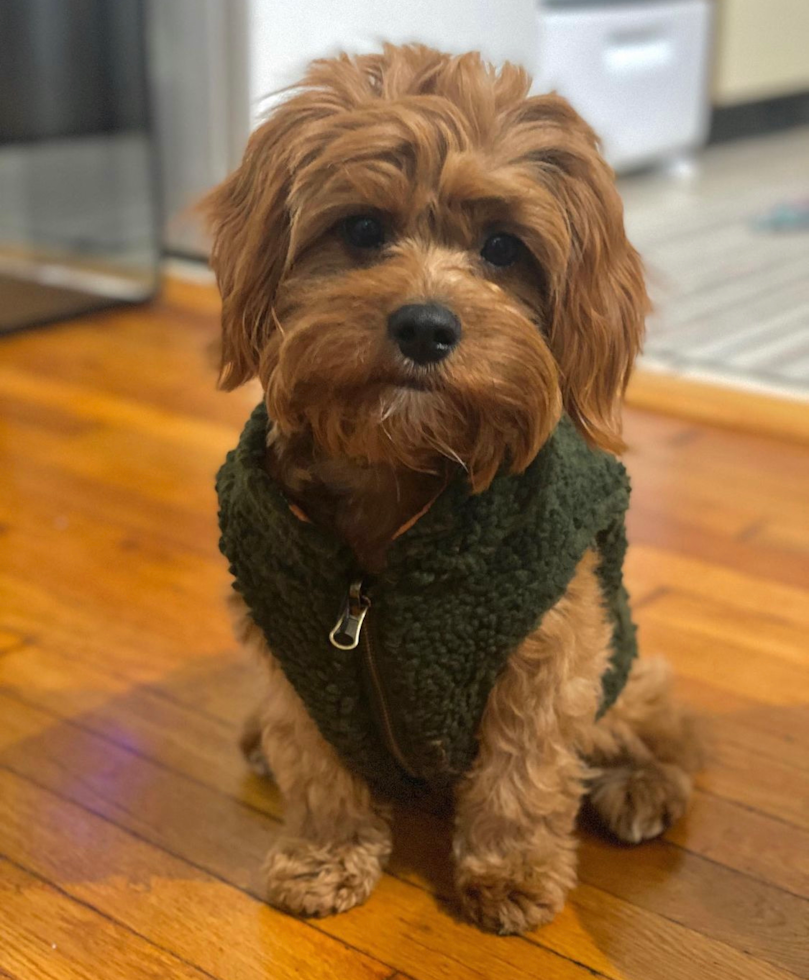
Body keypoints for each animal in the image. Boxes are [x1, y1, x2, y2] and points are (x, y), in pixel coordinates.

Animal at [204, 44, 700, 936]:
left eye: (503, 248)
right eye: (362, 230)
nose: (425, 326)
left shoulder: (549, 644)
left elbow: (522, 775)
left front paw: (509, 874)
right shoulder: (295, 647)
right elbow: (317, 766)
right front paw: (324, 857)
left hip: (624, 664)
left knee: (665, 723)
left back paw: (642, 787)